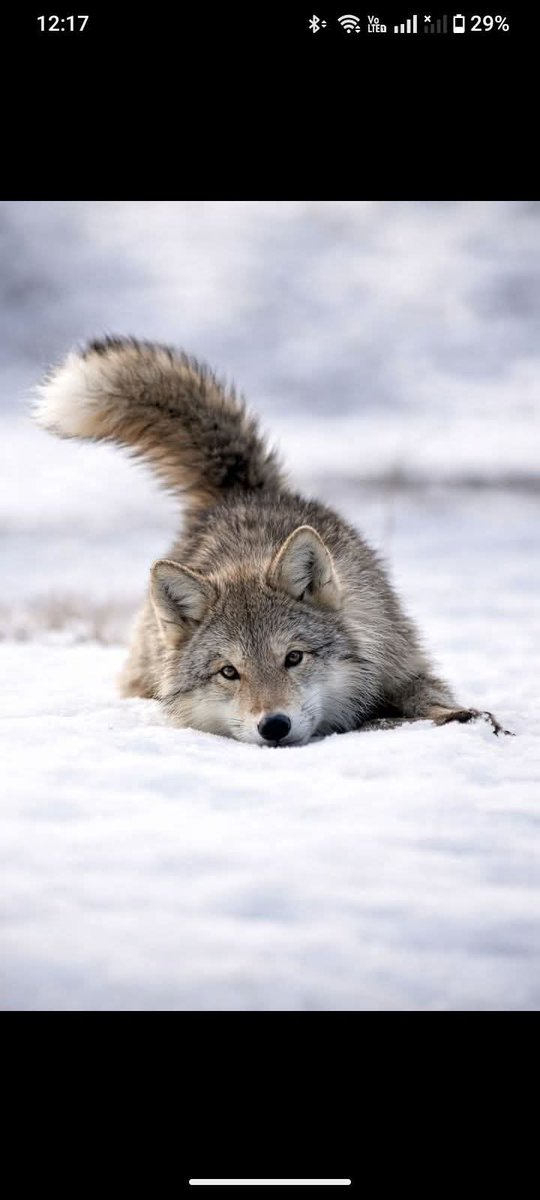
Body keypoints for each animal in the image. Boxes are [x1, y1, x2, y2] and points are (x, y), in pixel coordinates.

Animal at [35, 337, 508, 745]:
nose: (274, 726)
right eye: (229, 672)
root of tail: (242, 492)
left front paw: (462, 716)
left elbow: (426, 697)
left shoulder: (402, 666)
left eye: (293, 658)